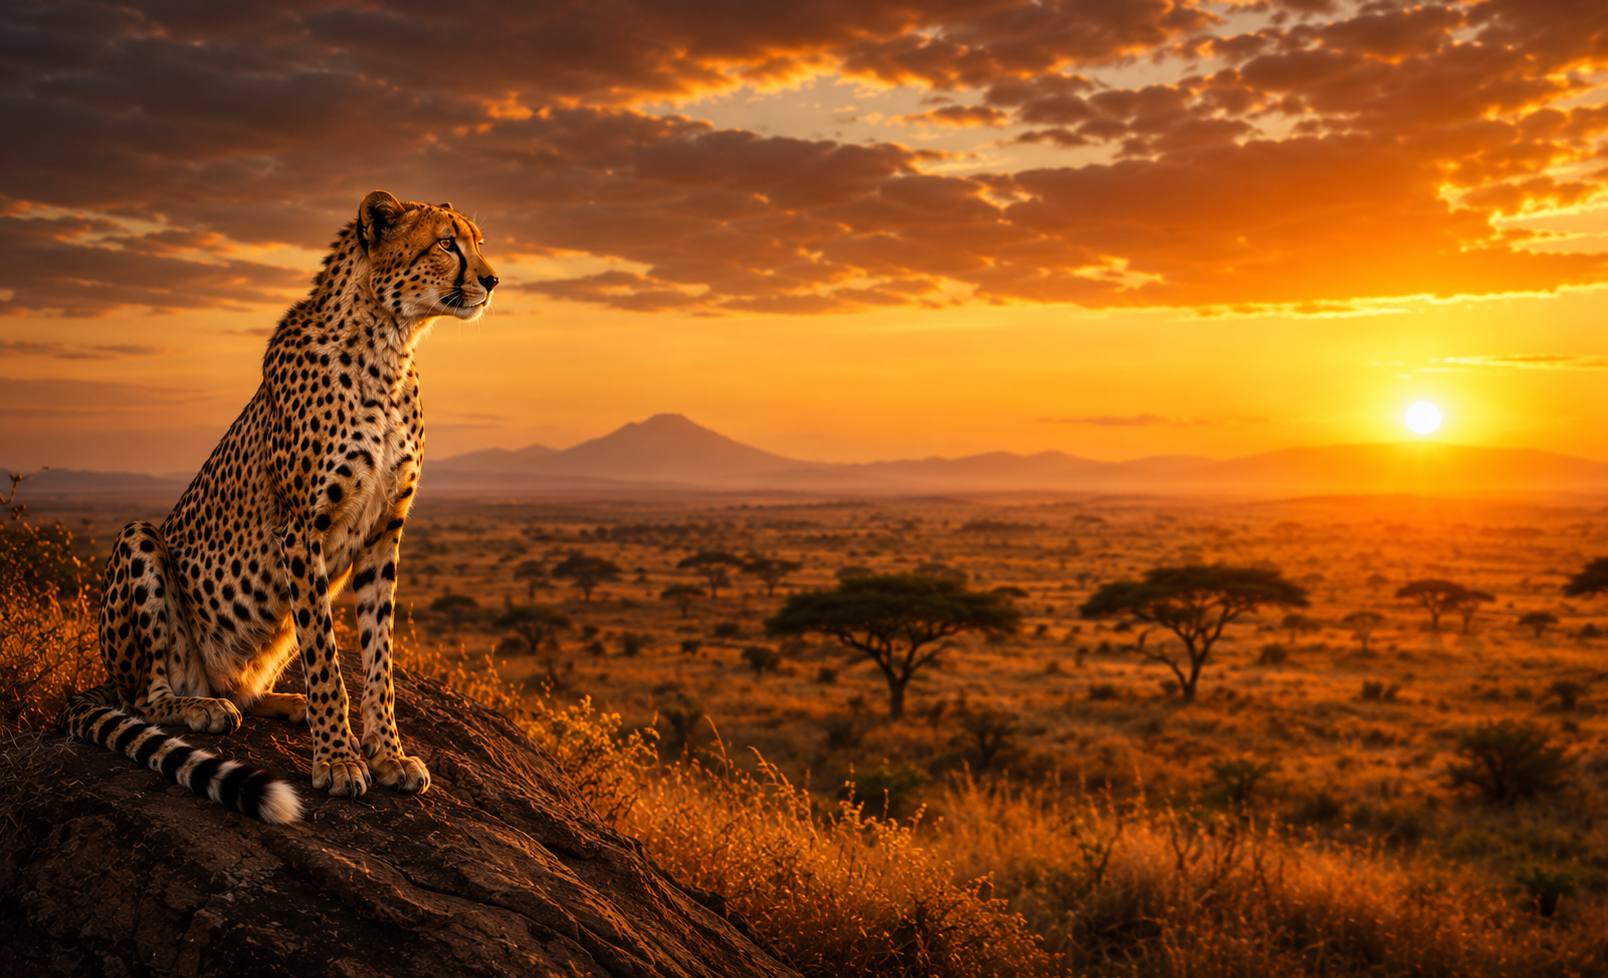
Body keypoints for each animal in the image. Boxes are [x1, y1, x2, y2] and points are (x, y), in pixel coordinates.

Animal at [60, 191, 499, 823]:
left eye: (478, 242)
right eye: (446, 243)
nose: (492, 279)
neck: (390, 343)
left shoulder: (383, 534)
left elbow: (379, 657)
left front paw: (386, 753)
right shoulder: (302, 529)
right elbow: (326, 657)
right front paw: (338, 759)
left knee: (240, 689)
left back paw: (286, 703)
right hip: (139, 541)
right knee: (146, 697)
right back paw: (198, 708)